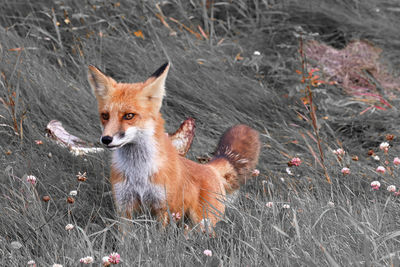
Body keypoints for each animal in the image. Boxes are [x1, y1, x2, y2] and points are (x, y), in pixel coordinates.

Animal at [88, 62, 260, 228]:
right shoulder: (124, 206)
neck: (138, 174)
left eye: (129, 116)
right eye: (105, 116)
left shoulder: (163, 208)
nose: (106, 139)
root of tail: (210, 167)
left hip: (202, 222)